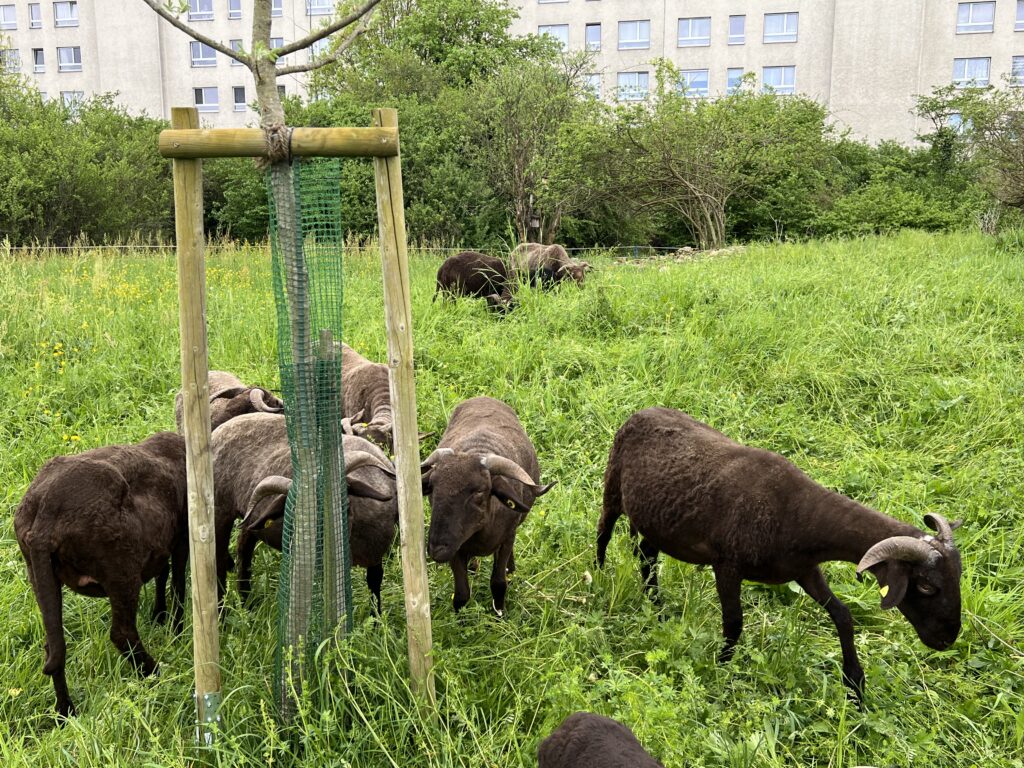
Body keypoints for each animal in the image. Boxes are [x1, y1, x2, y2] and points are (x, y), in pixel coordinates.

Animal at [13, 430, 188, 720]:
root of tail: (46, 515)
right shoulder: (182, 538)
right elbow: (178, 582)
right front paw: (176, 628)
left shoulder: (161, 543)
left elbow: (163, 574)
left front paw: (160, 616)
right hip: (120, 569)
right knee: (121, 633)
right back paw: (155, 674)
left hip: (38, 572)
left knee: (54, 647)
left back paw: (66, 712)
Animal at [209, 411, 397, 610]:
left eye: (343, 504)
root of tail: (222, 427)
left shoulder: (376, 554)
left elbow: (374, 584)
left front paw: (376, 616)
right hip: (220, 513)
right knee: (219, 564)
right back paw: (223, 612)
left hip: (249, 521)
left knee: (243, 552)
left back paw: (247, 604)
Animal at [421, 399, 557, 618]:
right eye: (432, 487)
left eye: (479, 492)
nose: (437, 549)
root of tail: (482, 397)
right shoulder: (456, 550)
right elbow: (461, 594)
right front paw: (460, 621)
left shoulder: (506, 539)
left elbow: (498, 583)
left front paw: (500, 614)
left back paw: (511, 570)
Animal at [598, 409, 962, 704]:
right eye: (926, 586)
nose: (948, 639)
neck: (797, 515)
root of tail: (643, 410)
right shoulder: (727, 564)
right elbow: (734, 623)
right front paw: (721, 668)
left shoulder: (805, 570)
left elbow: (842, 615)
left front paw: (855, 686)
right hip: (613, 487)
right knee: (604, 533)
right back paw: (599, 579)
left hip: (656, 522)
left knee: (646, 556)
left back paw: (657, 608)